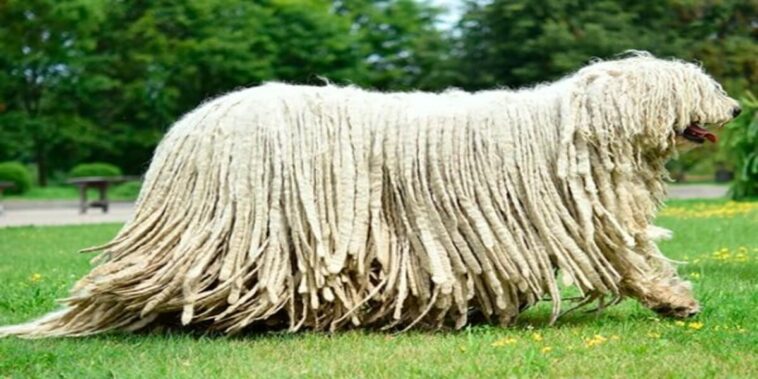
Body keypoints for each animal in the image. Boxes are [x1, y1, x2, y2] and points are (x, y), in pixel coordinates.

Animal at [0, 53, 744, 338]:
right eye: (696, 84)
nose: (737, 107)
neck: (575, 129)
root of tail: (188, 131)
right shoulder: (580, 217)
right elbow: (628, 255)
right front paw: (675, 300)